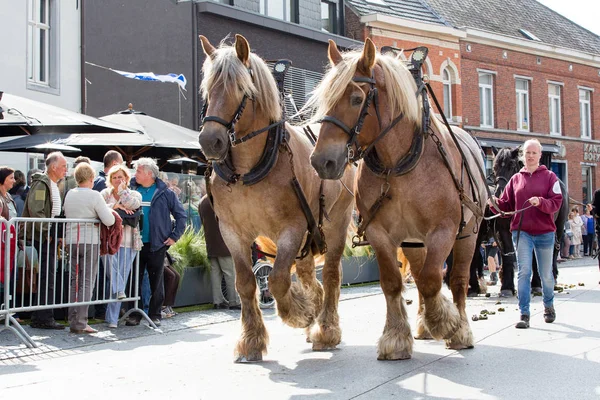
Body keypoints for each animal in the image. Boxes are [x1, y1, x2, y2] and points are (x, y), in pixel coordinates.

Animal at [197, 35, 356, 362]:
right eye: (208, 88)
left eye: (241, 89)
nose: (210, 141)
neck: (248, 170)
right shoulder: (232, 233)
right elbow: (246, 284)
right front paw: (251, 341)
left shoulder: (291, 229)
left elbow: (278, 279)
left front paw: (300, 313)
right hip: (308, 235)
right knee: (309, 275)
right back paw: (314, 311)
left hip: (333, 225)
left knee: (331, 275)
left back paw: (325, 329)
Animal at [304, 39, 488, 360]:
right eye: (326, 99)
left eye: (356, 98)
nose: (321, 161)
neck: (398, 164)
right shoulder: (380, 233)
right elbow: (393, 283)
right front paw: (396, 338)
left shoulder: (443, 231)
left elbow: (433, 279)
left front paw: (447, 322)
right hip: (413, 241)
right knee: (419, 272)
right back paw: (424, 324)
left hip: (468, 234)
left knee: (457, 280)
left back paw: (460, 330)